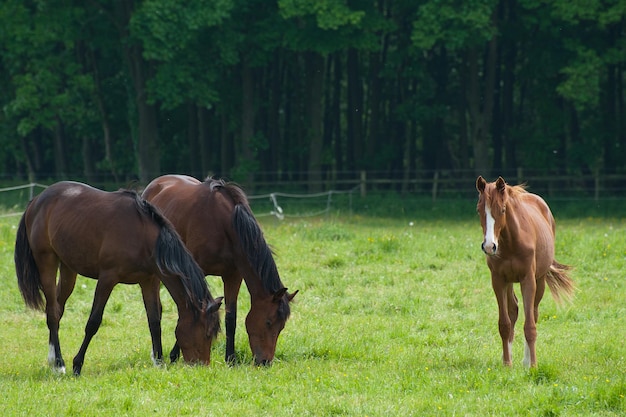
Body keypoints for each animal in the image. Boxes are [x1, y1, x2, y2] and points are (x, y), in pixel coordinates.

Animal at [12, 180, 224, 376]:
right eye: (207, 334)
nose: (202, 366)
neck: (144, 237)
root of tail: (37, 201)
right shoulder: (107, 279)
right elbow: (93, 322)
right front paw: (77, 365)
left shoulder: (147, 282)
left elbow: (154, 321)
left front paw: (159, 362)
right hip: (46, 261)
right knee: (53, 311)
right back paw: (59, 363)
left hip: (68, 268)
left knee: (57, 308)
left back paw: (52, 358)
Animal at [142, 174, 298, 362]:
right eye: (268, 322)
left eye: (281, 327)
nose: (265, 361)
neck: (224, 224)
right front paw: (175, 355)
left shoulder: (233, 276)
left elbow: (231, 317)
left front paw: (230, 358)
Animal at [476, 176, 572, 368]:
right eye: (479, 210)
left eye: (502, 210)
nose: (489, 246)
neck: (511, 242)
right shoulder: (498, 280)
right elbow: (504, 323)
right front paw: (507, 363)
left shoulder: (528, 280)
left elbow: (530, 325)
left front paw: (533, 365)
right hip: (510, 282)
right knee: (513, 310)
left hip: (539, 280)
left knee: (533, 313)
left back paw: (527, 360)